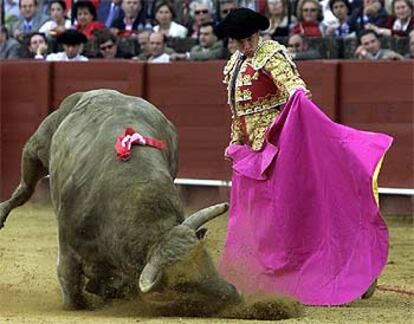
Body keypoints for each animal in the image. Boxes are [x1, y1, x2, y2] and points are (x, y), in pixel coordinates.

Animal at [0, 90, 300, 320]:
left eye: (207, 260)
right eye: (182, 286)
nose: (233, 296)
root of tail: (99, 92)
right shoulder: (69, 247)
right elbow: (71, 287)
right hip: (38, 146)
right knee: (25, 187)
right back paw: (2, 212)